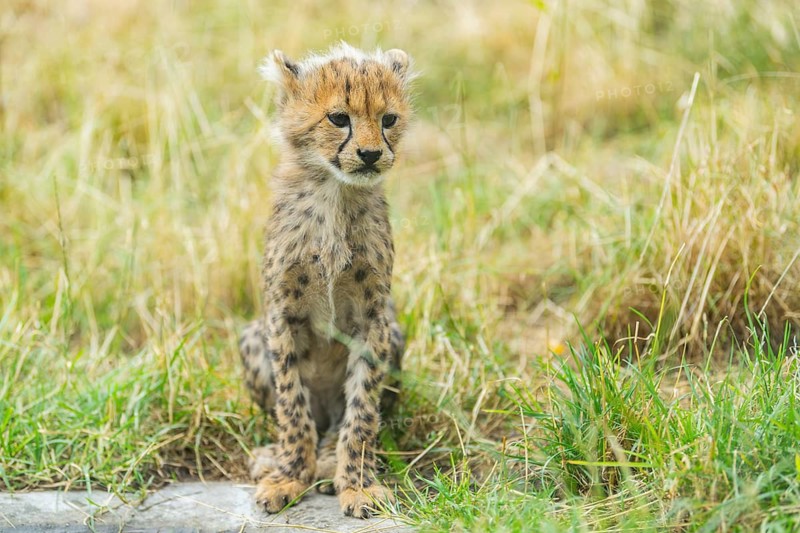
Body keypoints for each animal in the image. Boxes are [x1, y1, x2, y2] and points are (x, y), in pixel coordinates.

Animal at [237, 43, 414, 519]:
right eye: (339, 118)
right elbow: (291, 406)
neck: (334, 191)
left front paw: (357, 484)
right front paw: (289, 476)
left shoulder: (373, 319)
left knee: (340, 424)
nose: (371, 154)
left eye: (388, 119)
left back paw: (331, 458)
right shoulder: (282, 315)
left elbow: (362, 410)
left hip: (395, 335)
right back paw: (273, 458)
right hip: (252, 337)